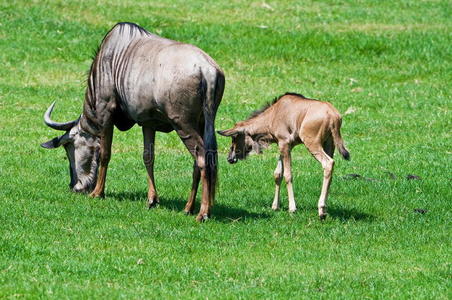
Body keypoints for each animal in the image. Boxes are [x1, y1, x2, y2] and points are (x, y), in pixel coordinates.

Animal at [218, 92, 350, 219]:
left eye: (234, 137)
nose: (230, 158)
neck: (273, 114)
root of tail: (333, 115)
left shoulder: (284, 144)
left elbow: (287, 175)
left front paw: (292, 208)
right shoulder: (284, 146)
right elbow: (278, 174)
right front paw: (275, 206)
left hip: (313, 144)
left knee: (328, 163)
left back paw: (321, 209)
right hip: (329, 144)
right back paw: (325, 209)